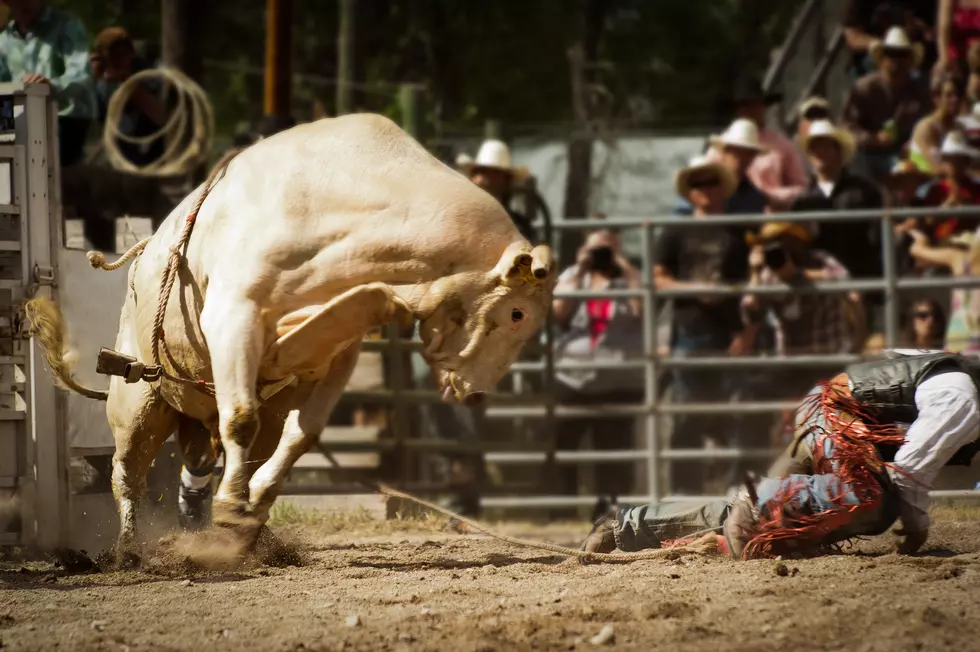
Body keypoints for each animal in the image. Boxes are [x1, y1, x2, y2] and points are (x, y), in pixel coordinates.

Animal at [26, 114, 556, 568]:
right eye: (517, 314)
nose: (477, 394)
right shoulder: (234, 316)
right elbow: (240, 418)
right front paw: (234, 510)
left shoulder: (342, 350)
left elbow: (304, 434)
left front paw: (252, 508)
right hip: (138, 400)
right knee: (127, 473)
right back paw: (130, 550)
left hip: (206, 411)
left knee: (205, 457)